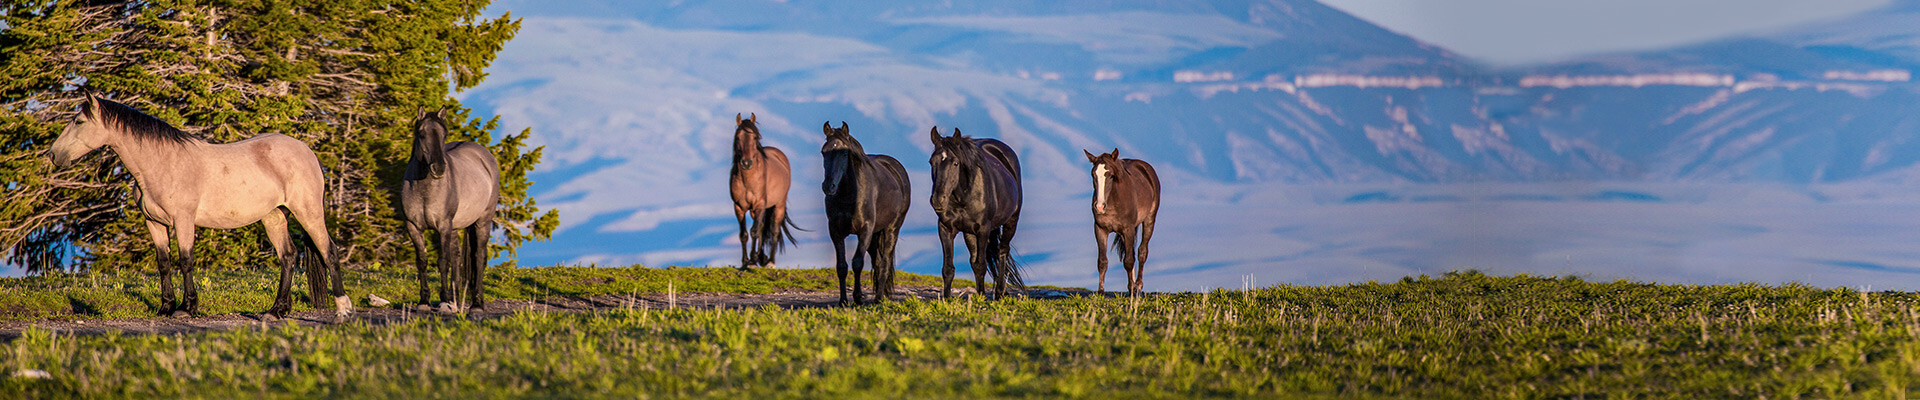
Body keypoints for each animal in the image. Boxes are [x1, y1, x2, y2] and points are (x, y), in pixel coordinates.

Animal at [46, 92, 347, 317]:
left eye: (79, 121)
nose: (53, 155)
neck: (162, 163)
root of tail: (307, 152)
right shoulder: (154, 223)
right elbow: (164, 262)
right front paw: (165, 307)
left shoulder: (184, 220)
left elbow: (186, 260)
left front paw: (186, 308)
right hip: (274, 216)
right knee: (288, 256)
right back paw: (276, 311)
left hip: (308, 211)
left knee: (329, 251)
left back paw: (343, 309)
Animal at [401, 109, 503, 311]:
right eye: (421, 134)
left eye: (444, 135)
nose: (439, 168)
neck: (424, 190)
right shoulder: (413, 227)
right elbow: (422, 261)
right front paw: (424, 301)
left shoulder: (443, 226)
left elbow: (442, 262)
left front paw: (444, 300)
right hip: (455, 227)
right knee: (457, 258)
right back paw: (456, 300)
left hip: (482, 222)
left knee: (478, 257)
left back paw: (476, 304)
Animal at [817, 120, 913, 303]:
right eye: (823, 152)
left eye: (844, 152)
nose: (828, 186)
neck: (849, 195)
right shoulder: (835, 231)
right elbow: (842, 266)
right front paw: (843, 301)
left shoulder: (865, 230)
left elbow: (857, 263)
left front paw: (857, 298)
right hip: (875, 236)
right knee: (878, 262)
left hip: (891, 229)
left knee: (885, 262)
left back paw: (879, 299)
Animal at [925, 126, 1029, 298]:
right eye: (931, 162)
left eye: (955, 163)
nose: (938, 200)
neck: (963, 197)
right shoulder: (945, 228)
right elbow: (948, 269)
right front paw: (946, 299)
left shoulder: (983, 229)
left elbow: (981, 265)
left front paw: (982, 299)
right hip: (969, 232)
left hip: (1011, 221)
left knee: (1002, 251)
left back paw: (1000, 293)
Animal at [1090, 148, 1159, 296]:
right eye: (1093, 175)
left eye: (1111, 175)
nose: (1099, 206)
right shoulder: (1100, 229)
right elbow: (1102, 262)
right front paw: (1101, 292)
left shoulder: (1128, 229)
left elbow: (1128, 261)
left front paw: (1133, 290)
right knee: (1131, 252)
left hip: (1149, 220)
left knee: (1142, 252)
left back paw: (1138, 285)